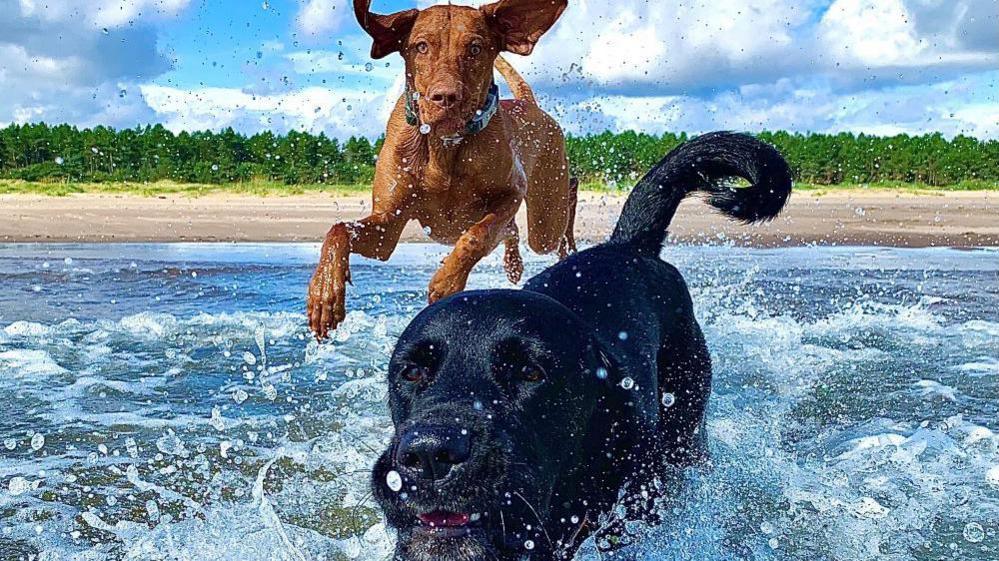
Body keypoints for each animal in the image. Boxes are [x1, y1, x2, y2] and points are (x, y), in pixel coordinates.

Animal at [306, 0, 580, 336]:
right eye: (421, 46)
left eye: (475, 48)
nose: (446, 98)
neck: (445, 147)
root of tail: (529, 104)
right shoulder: (387, 227)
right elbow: (339, 230)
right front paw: (324, 293)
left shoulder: (512, 192)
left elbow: (476, 234)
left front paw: (447, 281)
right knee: (513, 230)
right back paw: (514, 265)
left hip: (545, 222)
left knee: (563, 203)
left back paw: (567, 248)